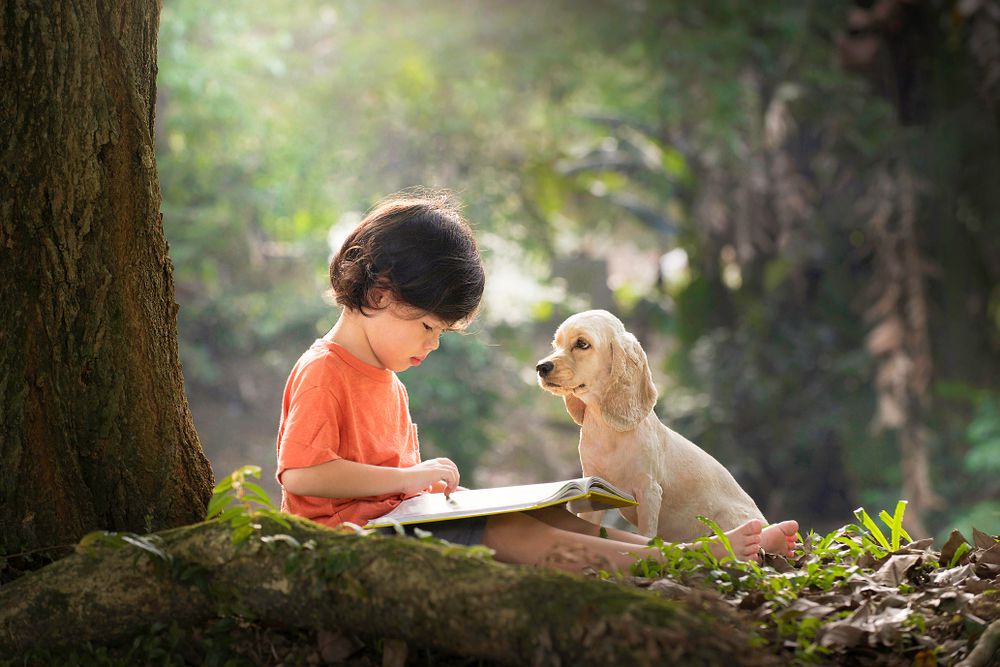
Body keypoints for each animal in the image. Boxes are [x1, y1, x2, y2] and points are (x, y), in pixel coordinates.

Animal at [540, 308, 764, 544]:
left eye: (582, 344)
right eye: (556, 344)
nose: (541, 367)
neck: (609, 431)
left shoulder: (649, 492)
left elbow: (646, 536)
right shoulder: (594, 488)